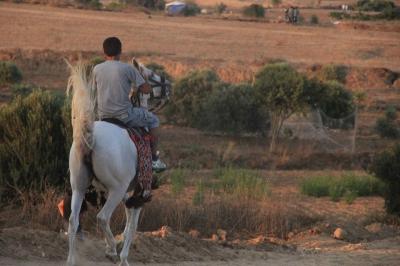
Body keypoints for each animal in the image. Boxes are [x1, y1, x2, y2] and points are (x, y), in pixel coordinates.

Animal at [65, 59, 170, 264]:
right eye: (151, 75)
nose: (168, 86)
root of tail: (89, 138)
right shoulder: (138, 196)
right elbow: (131, 228)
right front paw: (123, 258)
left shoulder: (128, 196)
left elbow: (128, 225)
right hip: (116, 189)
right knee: (102, 217)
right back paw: (112, 250)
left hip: (79, 186)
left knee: (74, 220)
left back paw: (72, 259)